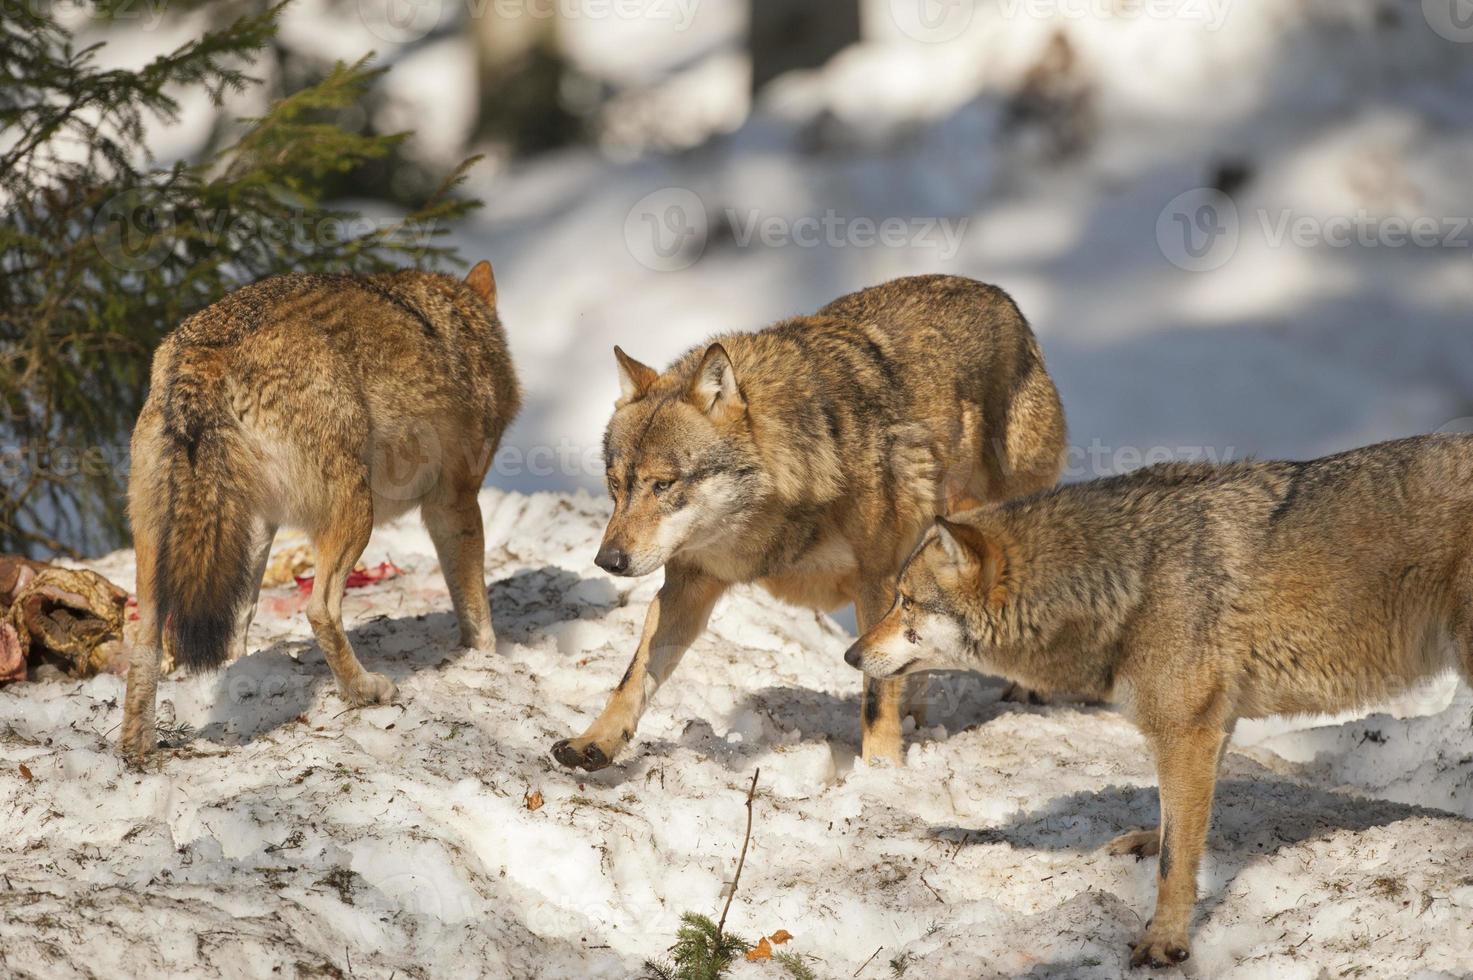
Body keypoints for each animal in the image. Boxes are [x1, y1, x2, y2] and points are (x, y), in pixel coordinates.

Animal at [122, 263, 524, 760]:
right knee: (320, 610)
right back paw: (366, 691)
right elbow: (476, 610)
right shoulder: (455, 503)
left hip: (202, 542)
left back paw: (138, 747)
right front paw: (490, 659)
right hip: (355, 514)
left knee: (160, 638)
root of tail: (204, 351)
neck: (466, 329)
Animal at [547, 271, 1066, 766]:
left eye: (663, 485)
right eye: (616, 485)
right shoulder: (685, 586)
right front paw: (594, 742)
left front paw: (880, 772)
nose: (609, 561)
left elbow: (875, 698)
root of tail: (1003, 298)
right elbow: (632, 676)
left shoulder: (877, 583)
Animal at [842, 433, 1473, 960]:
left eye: (906, 602)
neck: (1128, 582)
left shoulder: (1184, 730)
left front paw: (1164, 942)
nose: (850, 655)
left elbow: (1175, 864)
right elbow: (1176, 827)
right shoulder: (1206, 725)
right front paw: (1153, 838)